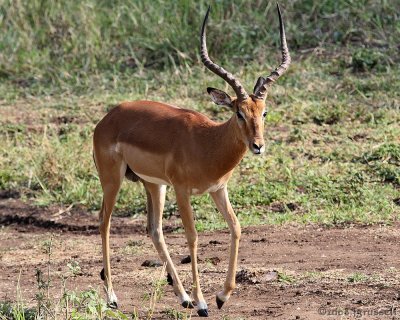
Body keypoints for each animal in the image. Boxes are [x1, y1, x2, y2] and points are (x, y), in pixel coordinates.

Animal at [94, 3, 290, 318]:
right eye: (239, 113)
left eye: (264, 112)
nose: (258, 146)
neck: (208, 142)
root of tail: (107, 119)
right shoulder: (183, 191)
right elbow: (193, 236)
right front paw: (203, 303)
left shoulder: (218, 189)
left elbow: (236, 227)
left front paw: (222, 296)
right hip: (113, 180)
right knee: (104, 222)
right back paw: (113, 298)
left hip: (154, 185)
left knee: (154, 229)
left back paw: (182, 297)